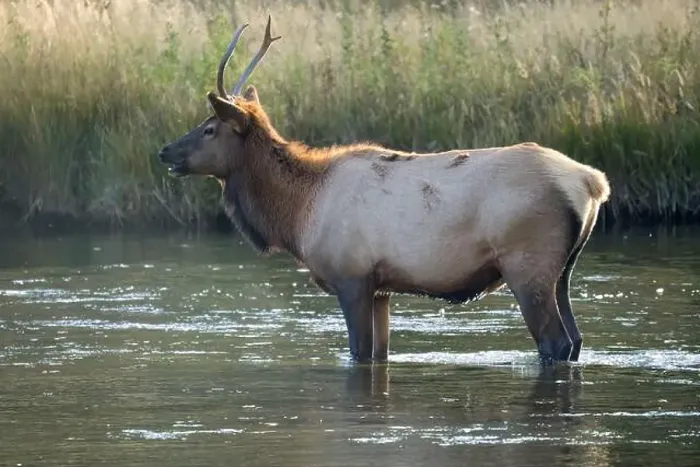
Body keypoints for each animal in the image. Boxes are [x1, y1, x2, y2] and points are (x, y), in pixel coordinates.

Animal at [157, 16, 611, 366]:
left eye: (209, 128)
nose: (164, 151)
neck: (298, 214)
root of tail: (593, 182)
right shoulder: (380, 287)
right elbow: (379, 353)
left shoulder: (352, 276)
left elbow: (359, 353)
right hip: (563, 269)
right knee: (574, 340)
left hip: (527, 262)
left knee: (554, 342)